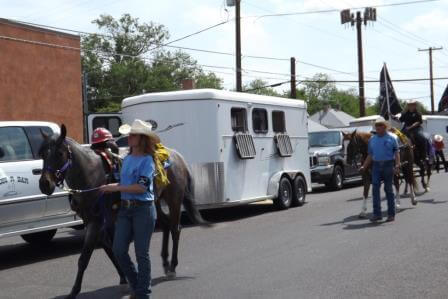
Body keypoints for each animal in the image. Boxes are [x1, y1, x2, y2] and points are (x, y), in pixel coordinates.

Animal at [38, 125, 210, 298]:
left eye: (60, 153)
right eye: (42, 154)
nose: (45, 184)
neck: (91, 175)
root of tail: (177, 156)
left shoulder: (97, 222)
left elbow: (84, 258)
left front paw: (74, 291)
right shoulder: (93, 222)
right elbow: (111, 249)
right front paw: (125, 278)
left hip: (174, 200)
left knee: (175, 229)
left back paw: (173, 267)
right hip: (155, 202)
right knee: (166, 225)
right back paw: (165, 263)